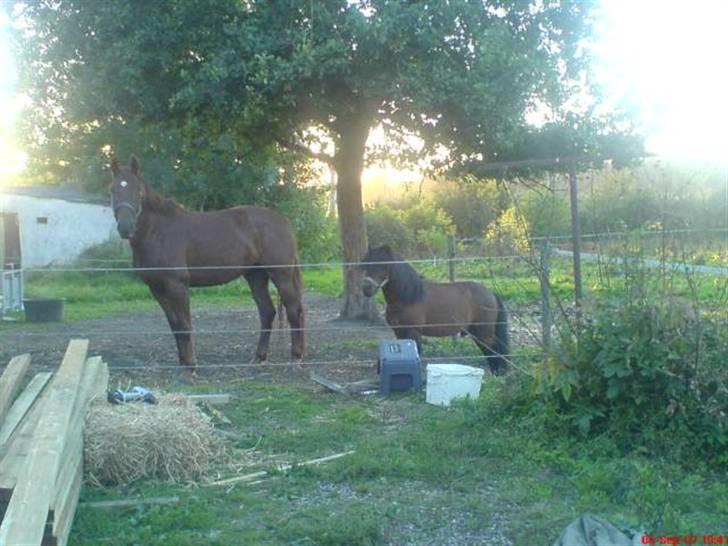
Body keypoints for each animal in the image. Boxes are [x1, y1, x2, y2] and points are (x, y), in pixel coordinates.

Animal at [109, 153, 304, 374]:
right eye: (113, 189)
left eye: (138, 191)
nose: (125, 228)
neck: (159, 232)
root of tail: (284, 221)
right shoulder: (156, 288)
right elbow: (175, 325)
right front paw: (182, 362)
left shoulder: (177, 285)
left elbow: (185, 325)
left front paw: (191, 366)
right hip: (256, 276)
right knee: (267, 312)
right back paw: (259, 357)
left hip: (281, 275)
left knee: (293, 310)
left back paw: (295, 357)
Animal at [362, 243, 510, 374]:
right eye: (366, 265)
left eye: (383, 265)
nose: (367, 289)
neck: (410, 297)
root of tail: (490, 293)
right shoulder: (399, 332)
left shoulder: (414, 333)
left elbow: (418, 354)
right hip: (476, 332)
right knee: (489, 352)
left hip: (484, 333)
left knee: (494, 351)